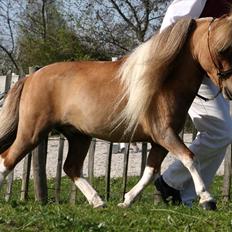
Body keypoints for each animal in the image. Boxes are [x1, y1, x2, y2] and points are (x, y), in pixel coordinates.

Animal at [0, 14, 232, 210]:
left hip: (79, 136)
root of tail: (30, 77)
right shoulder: (164, 134)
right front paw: (207, 199)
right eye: (222, 49)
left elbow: (151, 171)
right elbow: (190, 158)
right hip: (32, 132)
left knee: (71, 167)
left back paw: (98, 202)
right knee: (7, 159)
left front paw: (126, 201)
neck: (162, 82)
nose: (230, 89)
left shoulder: (160, 140)